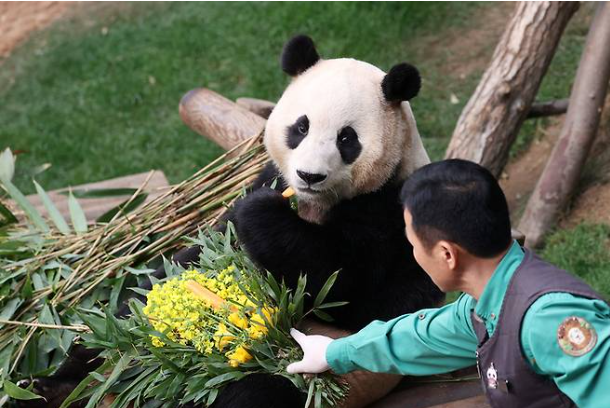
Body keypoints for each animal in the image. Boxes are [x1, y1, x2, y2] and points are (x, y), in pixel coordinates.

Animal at [14, 34, 442, 408]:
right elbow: (206, 246)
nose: (309, 175)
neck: (312, 204)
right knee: (117, 321)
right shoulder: (269, 177)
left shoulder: (388, 211)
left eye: (346, 139)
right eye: (301, 126)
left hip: (306, 371)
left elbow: (348, 289)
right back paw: (49, 387)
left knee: (253, 392)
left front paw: (263, 215)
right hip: (125, 331)